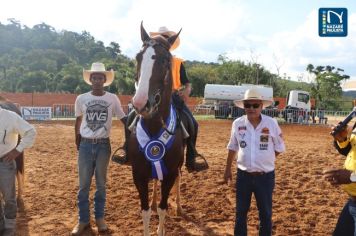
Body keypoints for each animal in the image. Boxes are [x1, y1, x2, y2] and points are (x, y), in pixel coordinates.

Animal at [128, 22, 184, 236]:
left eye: (165, 60)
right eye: (138, 57)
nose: (140, 103)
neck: (153, 126)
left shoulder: (169, 174)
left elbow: (163, 208)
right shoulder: (138, 174)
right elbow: (144, 210)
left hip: (178, 167)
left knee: (179, 180)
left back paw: (179, 207)